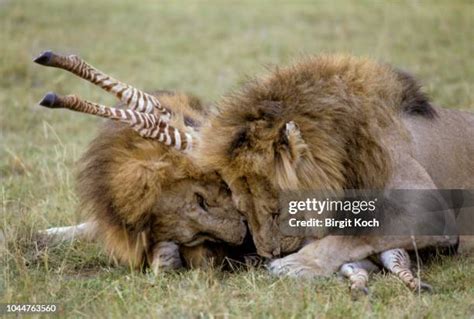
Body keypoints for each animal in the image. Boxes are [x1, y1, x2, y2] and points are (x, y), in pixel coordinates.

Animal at [198, 54, 472, 278]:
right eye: (244, 214)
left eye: (276, 213)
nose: (269, 254)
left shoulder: (430, 212)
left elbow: (358, 233)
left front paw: (297, 263)